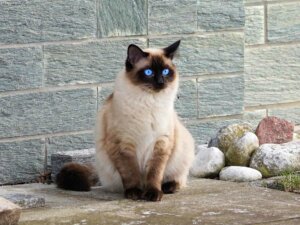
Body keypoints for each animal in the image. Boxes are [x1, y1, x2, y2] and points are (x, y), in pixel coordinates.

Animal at [56, 40, 195, 202]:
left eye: (166, 72)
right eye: (149, 72)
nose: (161, 82)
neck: (149, 102)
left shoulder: (161, 143)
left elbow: (154, 174)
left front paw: (153, 194)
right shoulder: (123, 145)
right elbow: (131, 173)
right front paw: (135, 193)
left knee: (177, 179)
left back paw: (167, 187)